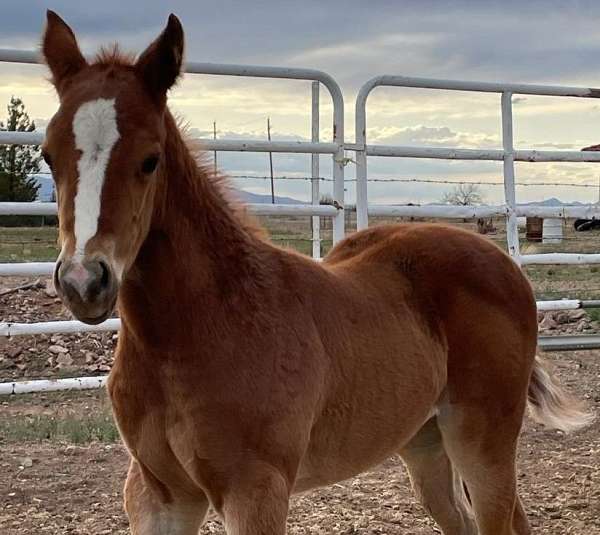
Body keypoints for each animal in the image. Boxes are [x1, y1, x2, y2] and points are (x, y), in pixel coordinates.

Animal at [41, 11, 592, 535]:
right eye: (48, 155)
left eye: (150, 160)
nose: (84, 281)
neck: (199, 327)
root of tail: (504, 264)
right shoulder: (159, 495)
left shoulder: (255, 492)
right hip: (425, 441)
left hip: (483, 442)